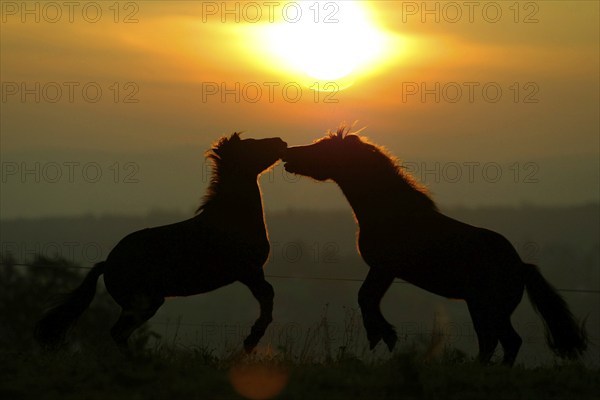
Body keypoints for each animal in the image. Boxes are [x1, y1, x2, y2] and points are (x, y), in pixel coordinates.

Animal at [35, 133, 288, 352]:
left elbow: (268, 296)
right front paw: (250, 341)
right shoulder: (247, 271)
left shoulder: (254, 272)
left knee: (119, 333)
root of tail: (107, 264)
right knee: (117, 332)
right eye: (251, 144)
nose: (281, 142)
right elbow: (267, 297)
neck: (233, 217)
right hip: (144, 303)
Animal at [284, 127, 588, 366]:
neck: (388, 212)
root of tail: (521, 266)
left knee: (503, 341)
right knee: (500, 342)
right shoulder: (383, 270)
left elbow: (365, 297)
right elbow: (367, 297)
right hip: (485, 309)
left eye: (322, 147)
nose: (288, 154)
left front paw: (383, 336)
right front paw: (383, 336)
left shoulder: (383, 268)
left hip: (487, 308)